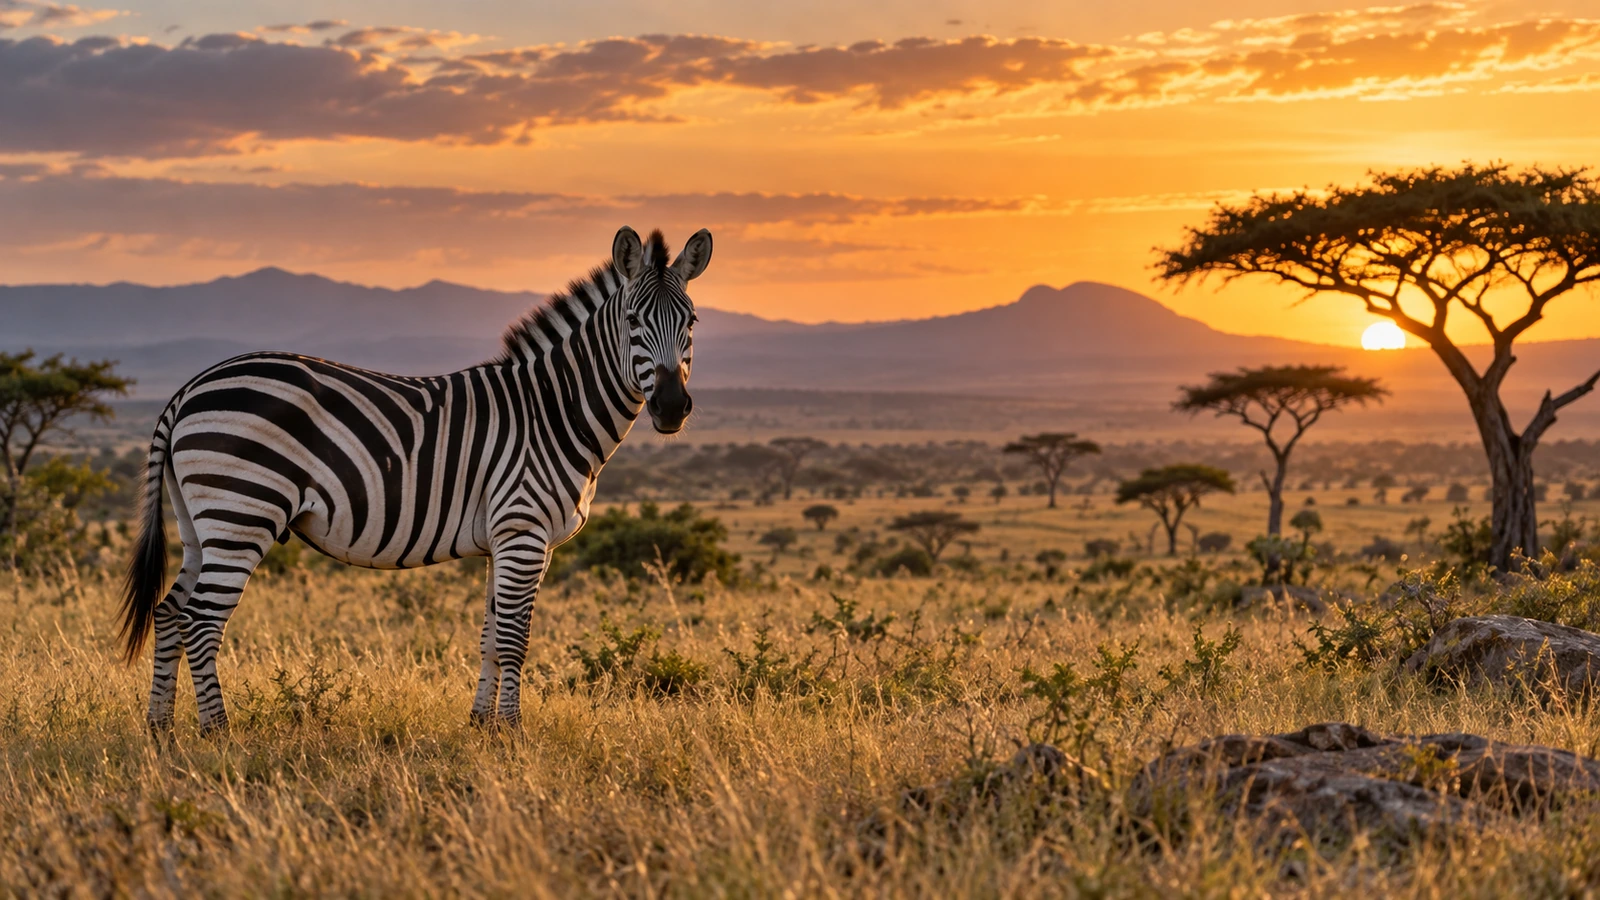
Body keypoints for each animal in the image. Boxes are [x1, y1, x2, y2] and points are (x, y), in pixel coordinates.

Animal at [117, 226, 711, 733]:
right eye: (632, 320)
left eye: (691, 323)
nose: (671, 408)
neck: (552, 411)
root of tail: (188, 389)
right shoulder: (524, 531)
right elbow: (515, 637)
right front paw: (514, 731)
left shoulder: (502, 539)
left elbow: (490, 636)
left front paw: (482, 727)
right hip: (243, 512)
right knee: (200, 621)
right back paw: (218, 732)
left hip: (201, 524)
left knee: (169, 613)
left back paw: (161, 730)